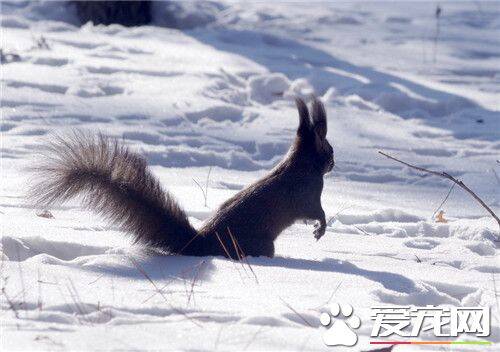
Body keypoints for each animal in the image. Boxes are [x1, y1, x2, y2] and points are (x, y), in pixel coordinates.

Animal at [26, 97, 332, 258]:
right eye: (328, 149)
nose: (333, 163)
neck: (300, 164)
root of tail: (201, 243)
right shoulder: (308, 195)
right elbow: (317, 212)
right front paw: (320, 229)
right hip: (260, 244)